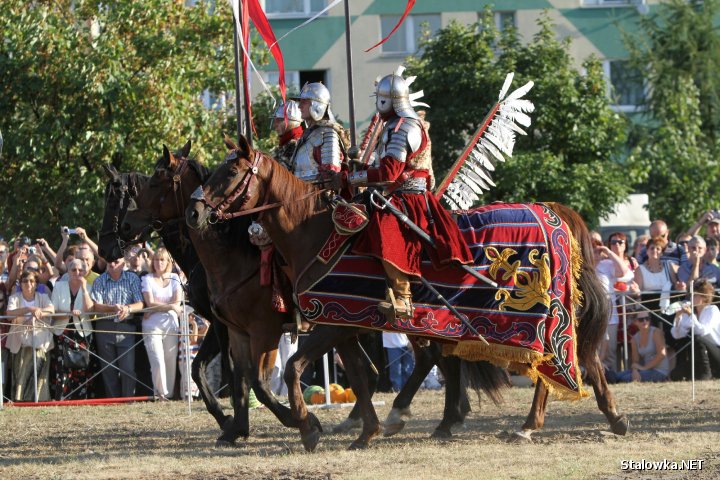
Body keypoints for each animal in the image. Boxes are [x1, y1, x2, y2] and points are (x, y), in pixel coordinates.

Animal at [187, 134, 632, 446]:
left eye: (230, 173)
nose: (195, 211)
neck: (311, 233)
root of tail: (551, 211)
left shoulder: (310, 327)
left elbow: (290, 369)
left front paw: (307, 426)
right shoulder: (341, 326)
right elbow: (358, 378)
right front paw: (365, 432)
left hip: (538, 316)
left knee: (555, 361)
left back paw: (526, 425)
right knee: (582, 358)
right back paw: (609, 418)